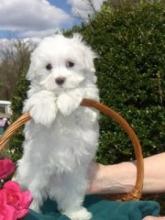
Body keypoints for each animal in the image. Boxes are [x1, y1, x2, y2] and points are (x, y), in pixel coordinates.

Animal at [15, 34, 99, 220]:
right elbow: (41, 95)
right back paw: (33, 212)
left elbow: (78, 92)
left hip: (73, 179)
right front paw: (45, 111)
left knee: (71, 197)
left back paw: (77, 213)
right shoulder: (31, 117)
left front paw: (66, 101)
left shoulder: (90, 109)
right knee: (32, 195)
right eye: (48, 67)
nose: (60, 80)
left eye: (70, 64)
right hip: (32, 175)